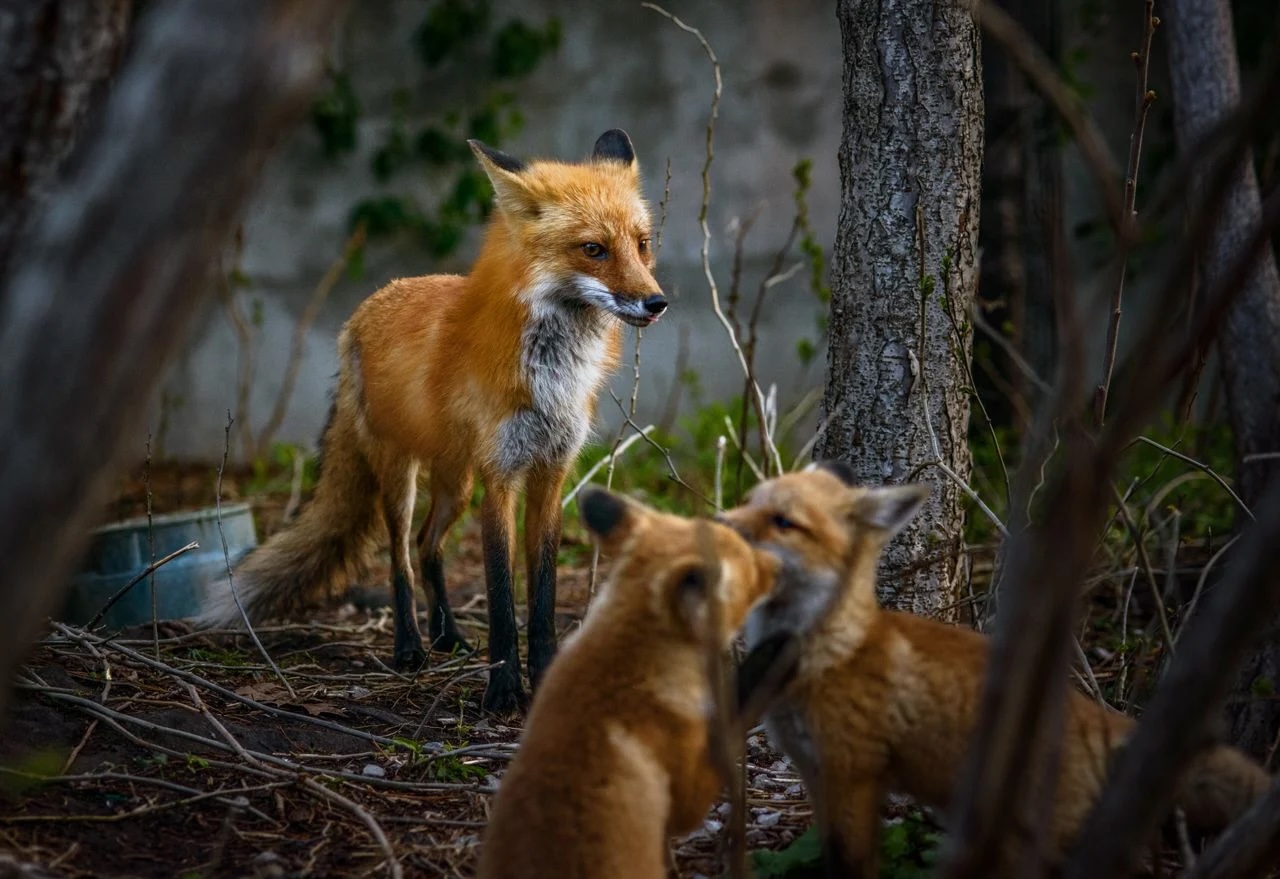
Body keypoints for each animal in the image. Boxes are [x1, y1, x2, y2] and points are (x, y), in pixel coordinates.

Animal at [197, 130, 666, 713]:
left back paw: (448, 635)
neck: (552, 376)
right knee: (399, 556)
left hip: (457, 484)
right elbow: (501, 597)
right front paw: (503, 689)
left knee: (427, 546)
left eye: (642, 244)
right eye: (593, 249)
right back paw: (410, 647)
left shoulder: (550, 477)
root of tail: (362, 311)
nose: (656, 302)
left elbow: (541, 598)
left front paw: (545, 677)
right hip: (402, 477)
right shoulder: (501, 479)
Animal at [721, 462, 1271, 877]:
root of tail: (1098, 716)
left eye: (783, 522)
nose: (721, 522)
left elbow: (854, 867)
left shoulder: (853, 774)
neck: (827, 651)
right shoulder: (816, 775)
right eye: (749, 501)